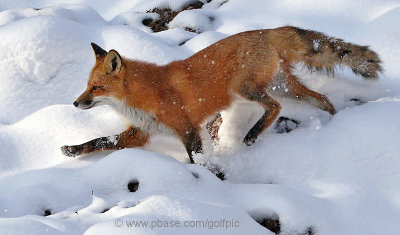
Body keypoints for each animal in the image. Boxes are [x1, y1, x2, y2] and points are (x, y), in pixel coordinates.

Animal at [61, 26, 382, 163]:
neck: (143, 96)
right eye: (87, 85)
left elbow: (198, 159)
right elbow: (99, 141)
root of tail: (266, 31)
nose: (76, 102)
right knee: (322, 100)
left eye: (96, 88)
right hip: (286, 87)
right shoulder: (140, 133)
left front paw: (210, 180)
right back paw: (333, 125)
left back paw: (253, 134)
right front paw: (73, 150)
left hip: (243, 89)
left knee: (275, 107)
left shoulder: (187, 129)